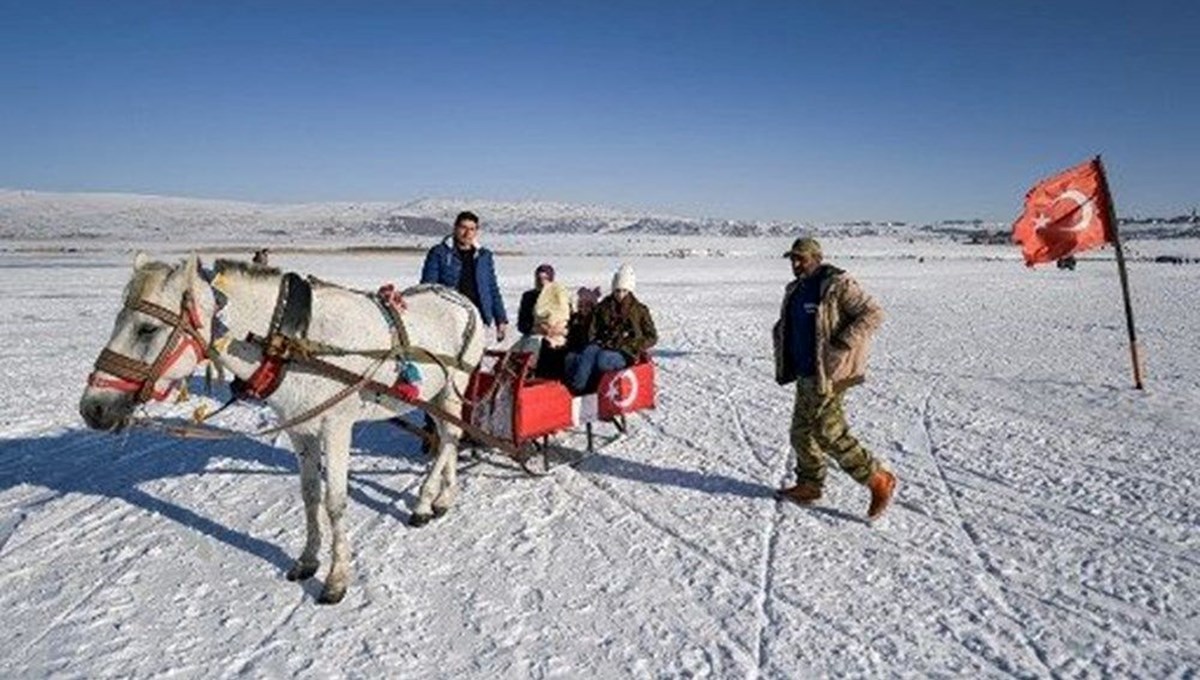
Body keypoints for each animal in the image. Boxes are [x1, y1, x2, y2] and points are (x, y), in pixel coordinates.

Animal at [79, 254, 484, 602]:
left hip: (454, 386)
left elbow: (335, 502)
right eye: (117, 320)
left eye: (147, 329)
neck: (292, 339)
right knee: (448, 437)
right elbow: (309, 495)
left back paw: (424, 501)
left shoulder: (337, 425)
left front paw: (336, 579)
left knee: (450, 437)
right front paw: (307, 560)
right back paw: (443, 498)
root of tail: (465, 301)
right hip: (437, 394)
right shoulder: (301, 428)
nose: (92, 408)